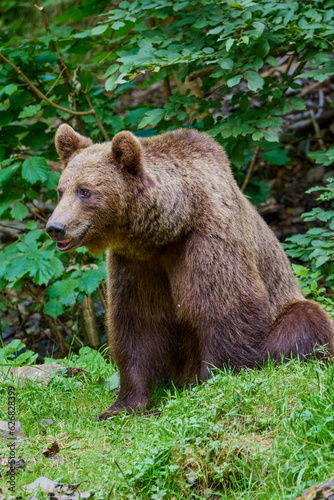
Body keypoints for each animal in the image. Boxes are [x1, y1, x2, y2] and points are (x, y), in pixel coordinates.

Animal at [47, 124, 334, 418]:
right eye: (60, 190)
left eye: (85, 191)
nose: (55, 227)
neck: (169, 229)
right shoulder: (136, 263)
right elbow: (137, 323)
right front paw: (123, 404)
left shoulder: (209, 239)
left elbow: (225, 306)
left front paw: (211, 381)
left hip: (286, 306)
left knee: (305, 321)